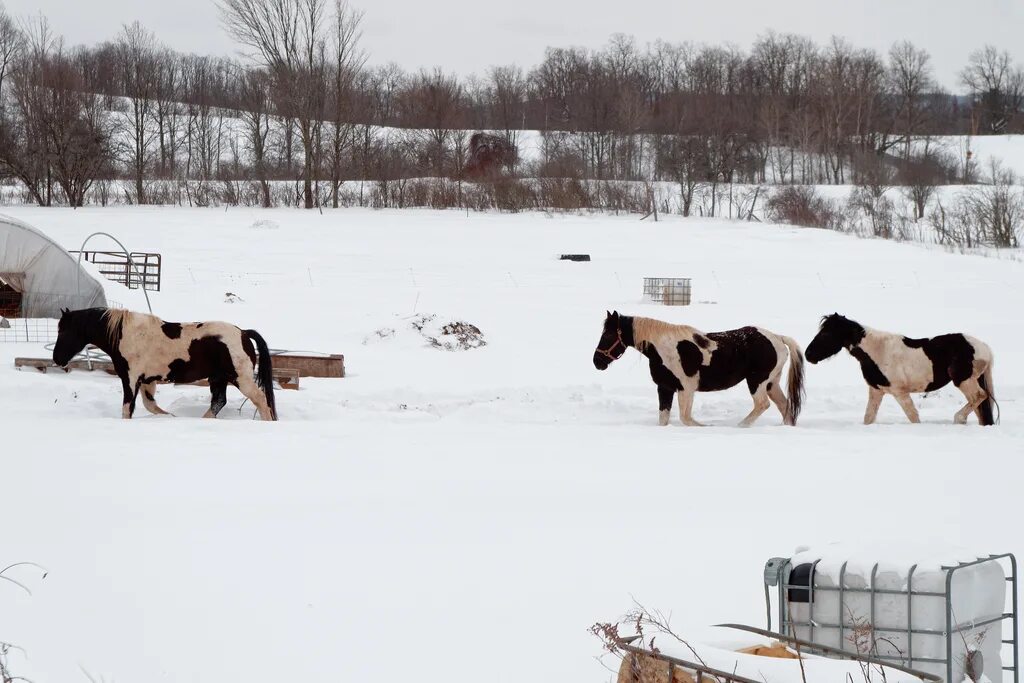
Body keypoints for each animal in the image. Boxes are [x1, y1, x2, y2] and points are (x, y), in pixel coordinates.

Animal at [51, 307, 276, 419]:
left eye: (64, 330)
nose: (56, 358)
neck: (126, 335)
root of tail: (244, 333)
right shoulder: (147, 381)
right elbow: (150, 405)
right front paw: (170, 417)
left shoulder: (131, 379)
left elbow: (127, 409)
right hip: (218, 379)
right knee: (219, 402)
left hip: (241, 379)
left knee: (261, 400)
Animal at [593, 311, 806, 428]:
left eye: (608, 335)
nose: (597, 362)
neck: (664, 348)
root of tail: (778, 338)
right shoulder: (665, 388)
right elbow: (664, 418)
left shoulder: (686, 389)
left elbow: (686, 418)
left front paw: (706, 426)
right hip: (771, 383)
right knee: (784, 406)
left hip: (757, 381)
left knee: (762, 404)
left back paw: (740, 426)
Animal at [802, 315, 995, 428]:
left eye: (826, 334)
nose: (808, 354)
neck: (878, 351)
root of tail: (984, 347)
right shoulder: (876, 391)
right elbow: (868, 417)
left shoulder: (899, 392)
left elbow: (913, 417)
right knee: (979, 406)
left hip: (964, 381)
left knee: (979, 396)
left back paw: (958, 419)